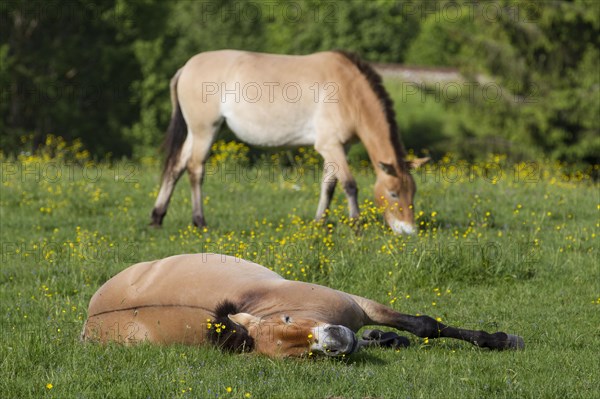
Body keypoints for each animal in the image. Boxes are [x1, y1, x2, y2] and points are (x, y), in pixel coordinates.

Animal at [150, 50, 432, 234]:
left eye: (413, 192)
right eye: (393, 193)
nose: (408, 231)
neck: (348, 91)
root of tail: (185, 68)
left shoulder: (337, 148)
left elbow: (328, 186)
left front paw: (320, 224)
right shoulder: (330, 146)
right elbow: (349, 185)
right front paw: (356, 226)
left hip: (199, 131)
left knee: (176, 166)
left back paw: (157, 217)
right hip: (204, 130)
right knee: (195, 169)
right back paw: (199, 222)